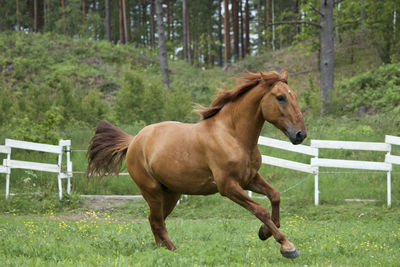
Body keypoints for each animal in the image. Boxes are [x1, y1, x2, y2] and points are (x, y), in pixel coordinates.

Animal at [86, 69, 306, 260]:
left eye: (293, 96)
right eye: (280, 97)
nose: (300, 134)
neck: (232, 136)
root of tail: (133, 141)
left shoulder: (249, 178)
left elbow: (275, 196)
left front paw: (265, 232)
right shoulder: (228, 186)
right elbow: (260, 210)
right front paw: (287, 247)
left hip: (170, 193)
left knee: (155, 220)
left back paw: (163, 250)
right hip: (152, 191)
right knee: (157, 222)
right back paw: (173, 251)